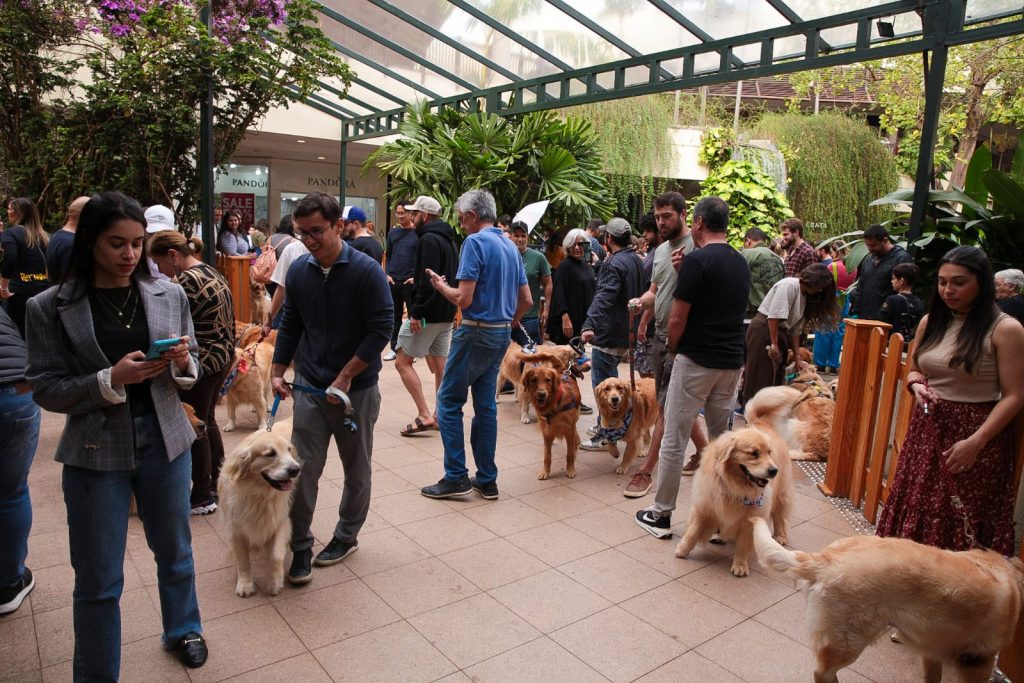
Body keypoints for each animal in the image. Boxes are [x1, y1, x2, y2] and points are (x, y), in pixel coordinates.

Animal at [218, 432, 301, 598]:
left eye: (289, 450)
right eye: (270, 454)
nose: (296, 469)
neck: (258, 493)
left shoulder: (281, 521)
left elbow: (275, 556)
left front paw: (274, 583)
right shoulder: (235, 529)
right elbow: (242, 560)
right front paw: (245, 584)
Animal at [520, 352, 585, 481]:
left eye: (548, 380)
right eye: (534, 380)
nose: (541, 394)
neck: (555, 404)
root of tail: (564, 371)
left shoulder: (569, 430)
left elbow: (569, 454)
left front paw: (571, 469)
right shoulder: (546, 431)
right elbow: (547, 456)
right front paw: (545, 472)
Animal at [675, 428, 794, 577]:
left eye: (769, 452)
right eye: (753, 453)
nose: (773, 470)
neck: (734, 486)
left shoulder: (750, 518)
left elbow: (742, 545)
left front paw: (740, 565)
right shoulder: (705, 506)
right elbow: (692, 532)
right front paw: (682, 550)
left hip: (780, 494)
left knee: (779, 516)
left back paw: (780, 536)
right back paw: (718, 536)